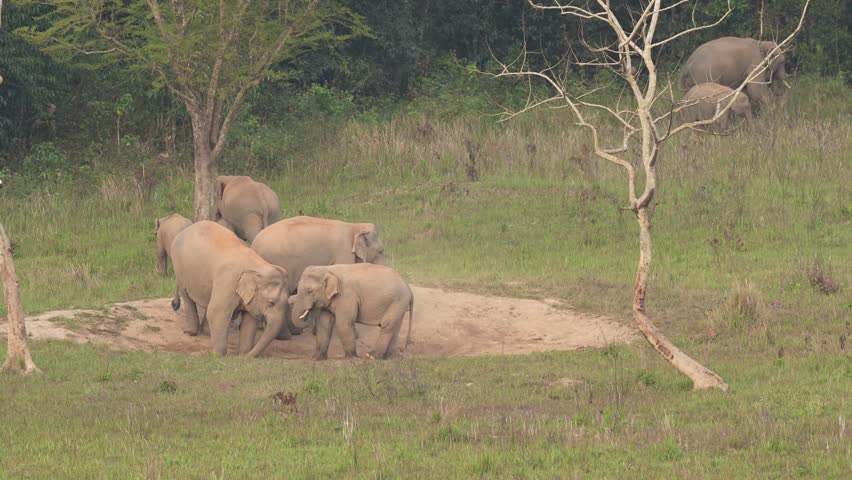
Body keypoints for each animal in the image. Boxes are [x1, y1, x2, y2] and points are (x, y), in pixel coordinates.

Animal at [170, 221, 289, 357]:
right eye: (271, 302)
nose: (246, 358)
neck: (258, 266)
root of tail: (186, 230)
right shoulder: (228, 280)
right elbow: (217, 312)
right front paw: (217, 355)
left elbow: (249, 320)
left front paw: (243, 354)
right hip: (179, 267)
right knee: (188, 297)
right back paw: (190, 332)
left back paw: (207, 332)